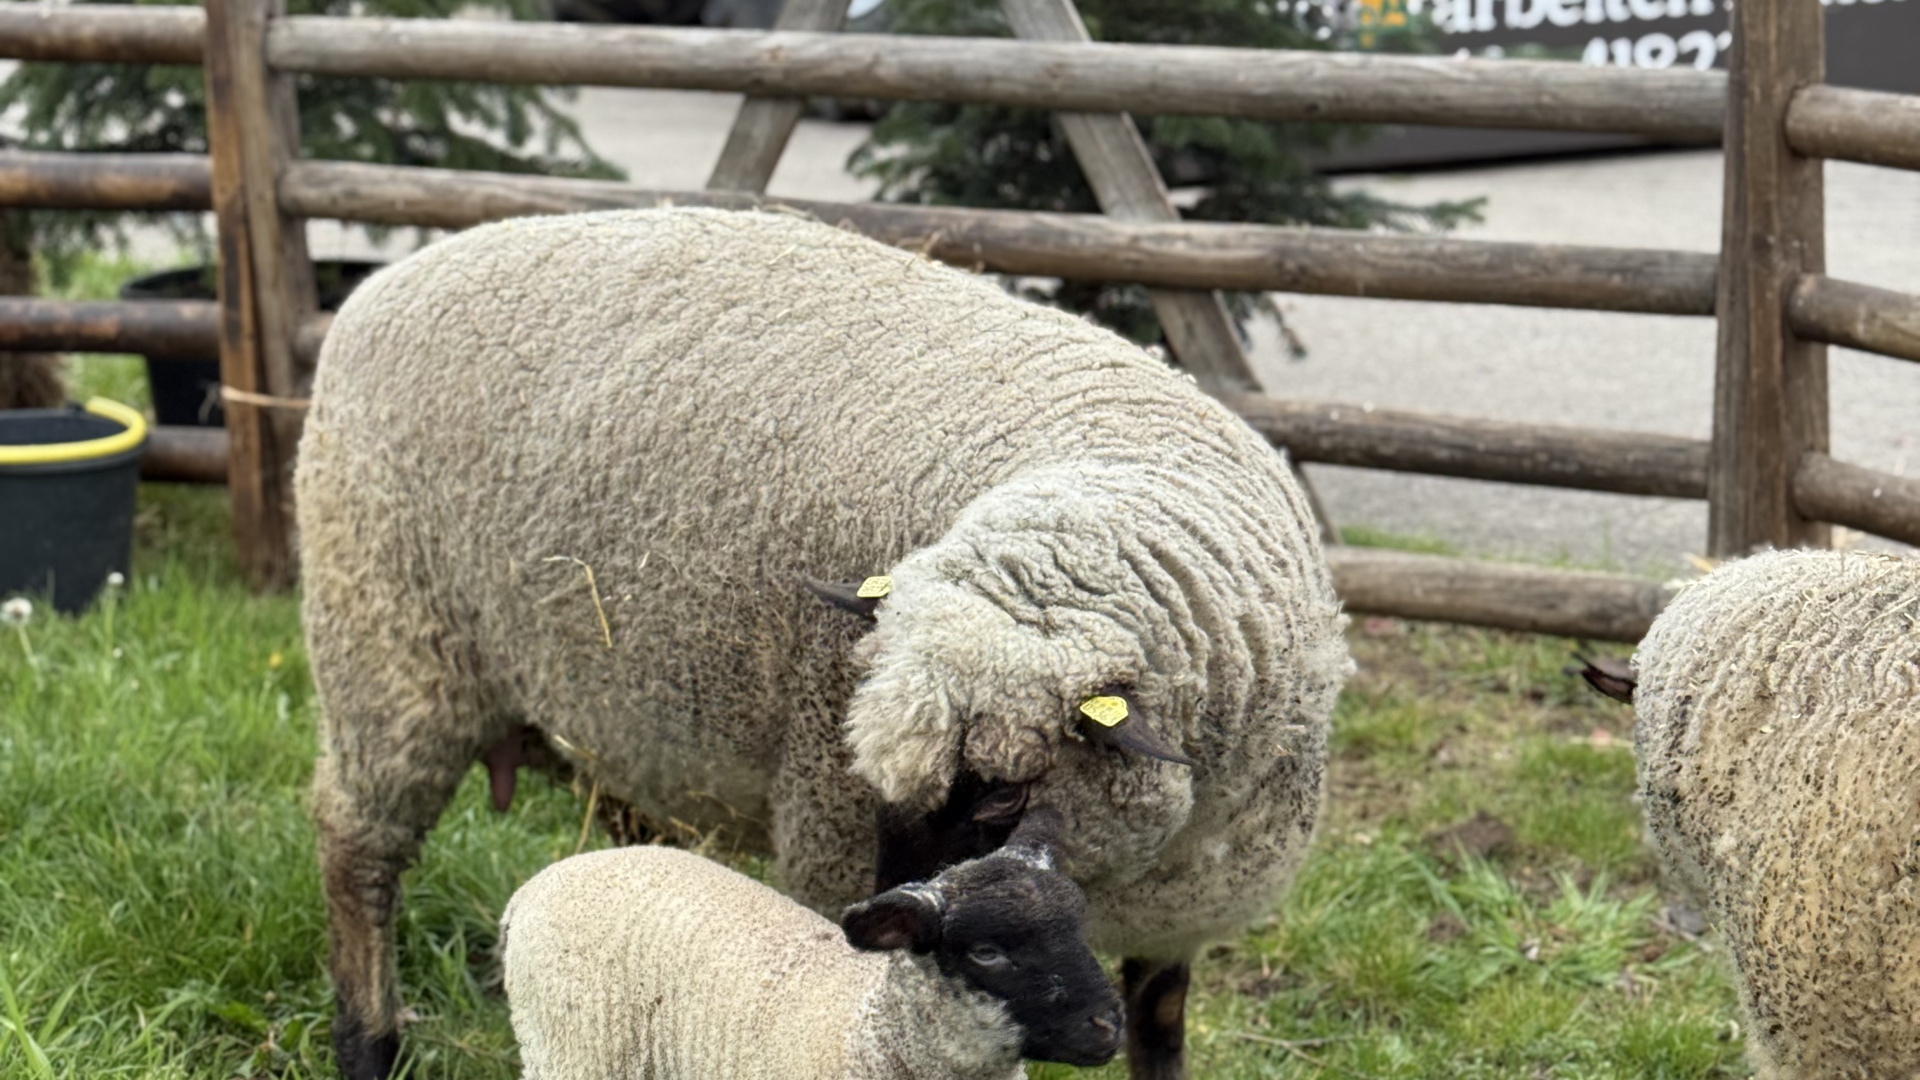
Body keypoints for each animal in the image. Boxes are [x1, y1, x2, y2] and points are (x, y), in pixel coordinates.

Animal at [500, 813, 1123, 1079]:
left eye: (1079, 929)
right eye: (986, 952)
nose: (1109, 1025)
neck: (865, 1035)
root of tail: (532, 888)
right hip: (571, 1051)